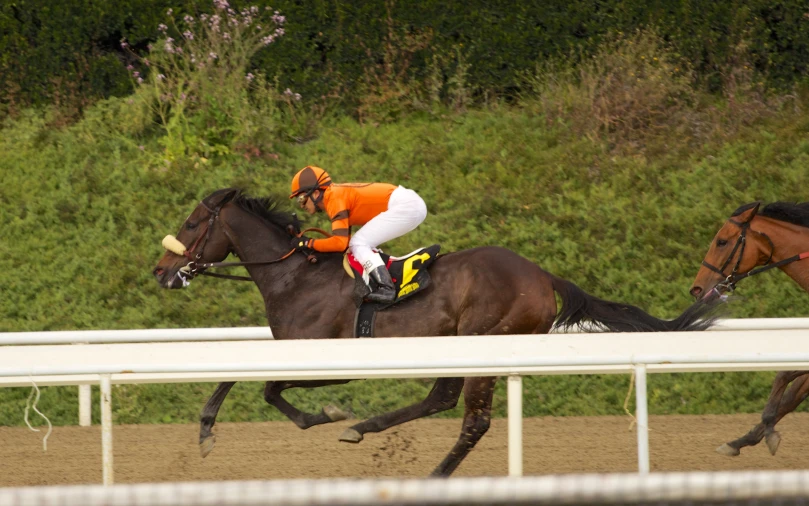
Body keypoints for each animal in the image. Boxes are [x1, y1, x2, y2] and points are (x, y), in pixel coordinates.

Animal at [155, 188, 724, 476]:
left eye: (190, 225)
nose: (162, 271)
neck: (296, 275)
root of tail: (542, 275)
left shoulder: (327, 360)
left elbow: (271, 391)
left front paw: (325, 414)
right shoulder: (284, 349)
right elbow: (237, 375)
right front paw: (206, 429)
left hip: (487, 341)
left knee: (473, 420)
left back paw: (430, 472)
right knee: (442, 399)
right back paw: (367, 429)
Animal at [688, 202, 808, 458]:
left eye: (721, 241)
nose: (696, 289)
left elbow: (785, 375)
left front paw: (768, 427)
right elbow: (791, 394)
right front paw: (740, 440)